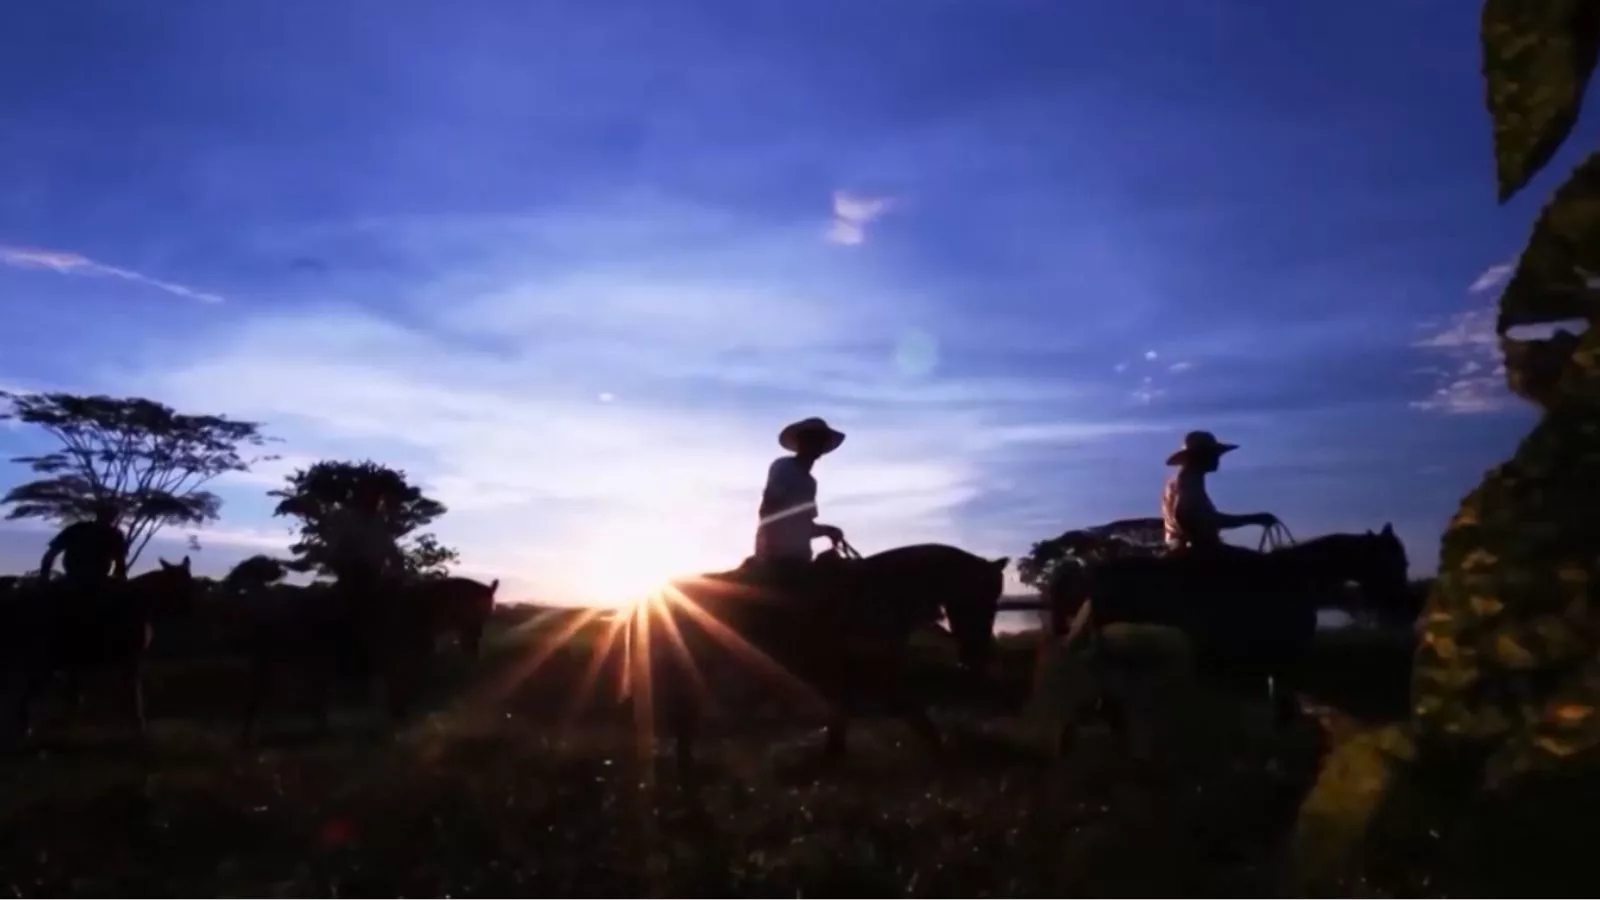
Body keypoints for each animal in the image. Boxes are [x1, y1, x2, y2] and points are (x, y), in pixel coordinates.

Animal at [1, 554, 200, 743]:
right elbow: (135, 693)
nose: (191, 609)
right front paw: (137, 724)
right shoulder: (130, 657)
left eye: (190, 580)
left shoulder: (124, 659)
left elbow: (129, 691)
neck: (142, 604)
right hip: (44, 657)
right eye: (178, 584)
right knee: (27, 690)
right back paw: (24, 728)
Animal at [633, 538, 998, 771]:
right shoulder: (876, 668)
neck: (879, 592)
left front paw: (833, 754)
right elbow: (909, 709)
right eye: (979, 596)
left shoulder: (852, 670)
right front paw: (943, 753)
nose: (976, 655)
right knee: (685, 706)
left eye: (995, 599)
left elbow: (846, 711)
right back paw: (685, 764)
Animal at [1049, 522, 1414, 746]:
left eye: (1404, 561)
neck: (1293, 577)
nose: (1401, 604)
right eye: (1393, 560)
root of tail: (1093, 575)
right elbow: (1283, 709)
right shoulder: (1280, 659)